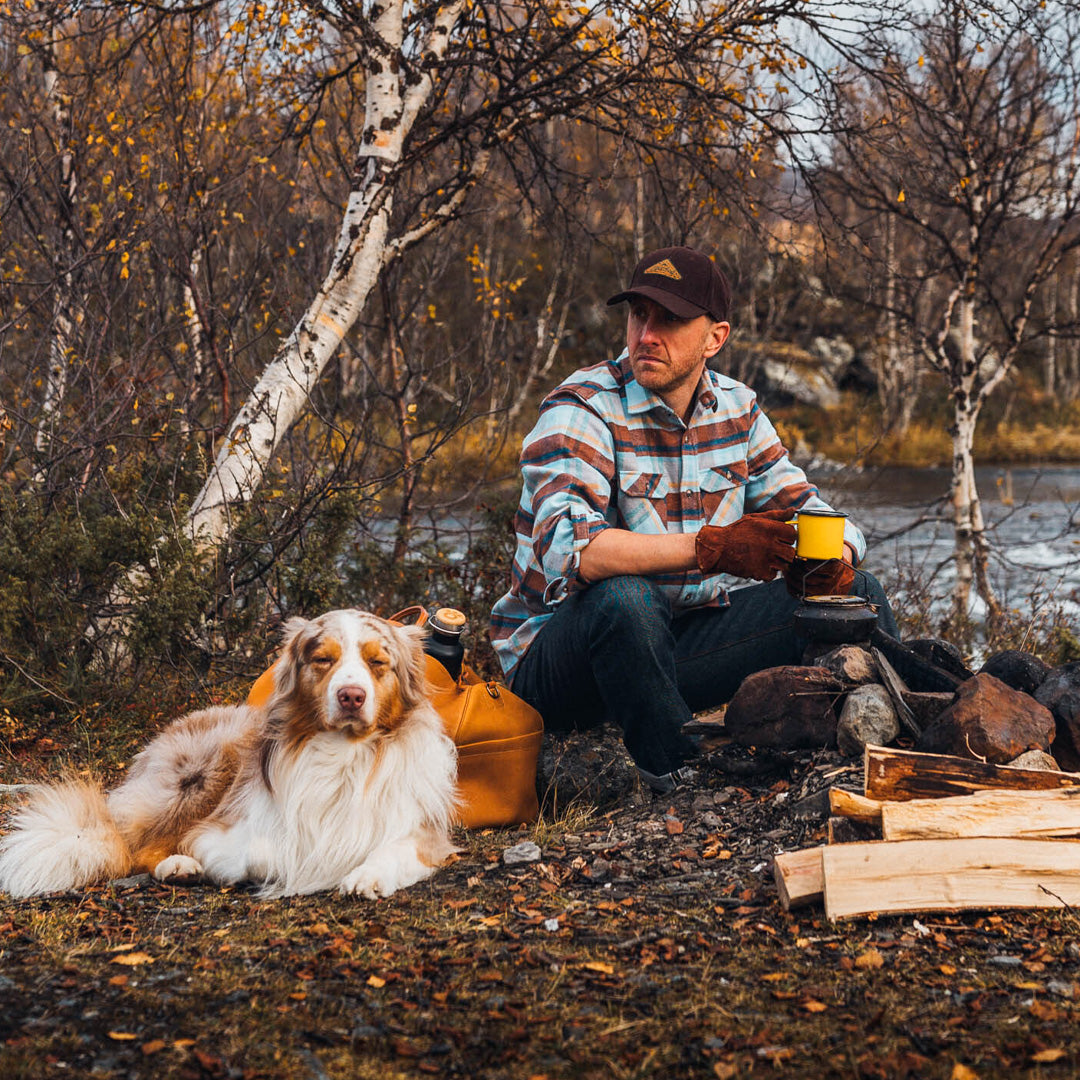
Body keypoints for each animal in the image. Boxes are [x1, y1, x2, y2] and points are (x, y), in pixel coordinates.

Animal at [0, 613, 460, 898]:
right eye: (323, 659)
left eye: (377, 662)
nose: (351, 696)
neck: (344, 756)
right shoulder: (216, 830)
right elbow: (263, 852)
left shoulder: (425, 831)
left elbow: (397, 849)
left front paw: (366, 874)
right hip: (201, 773)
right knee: (132, 844)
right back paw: (176, 865)